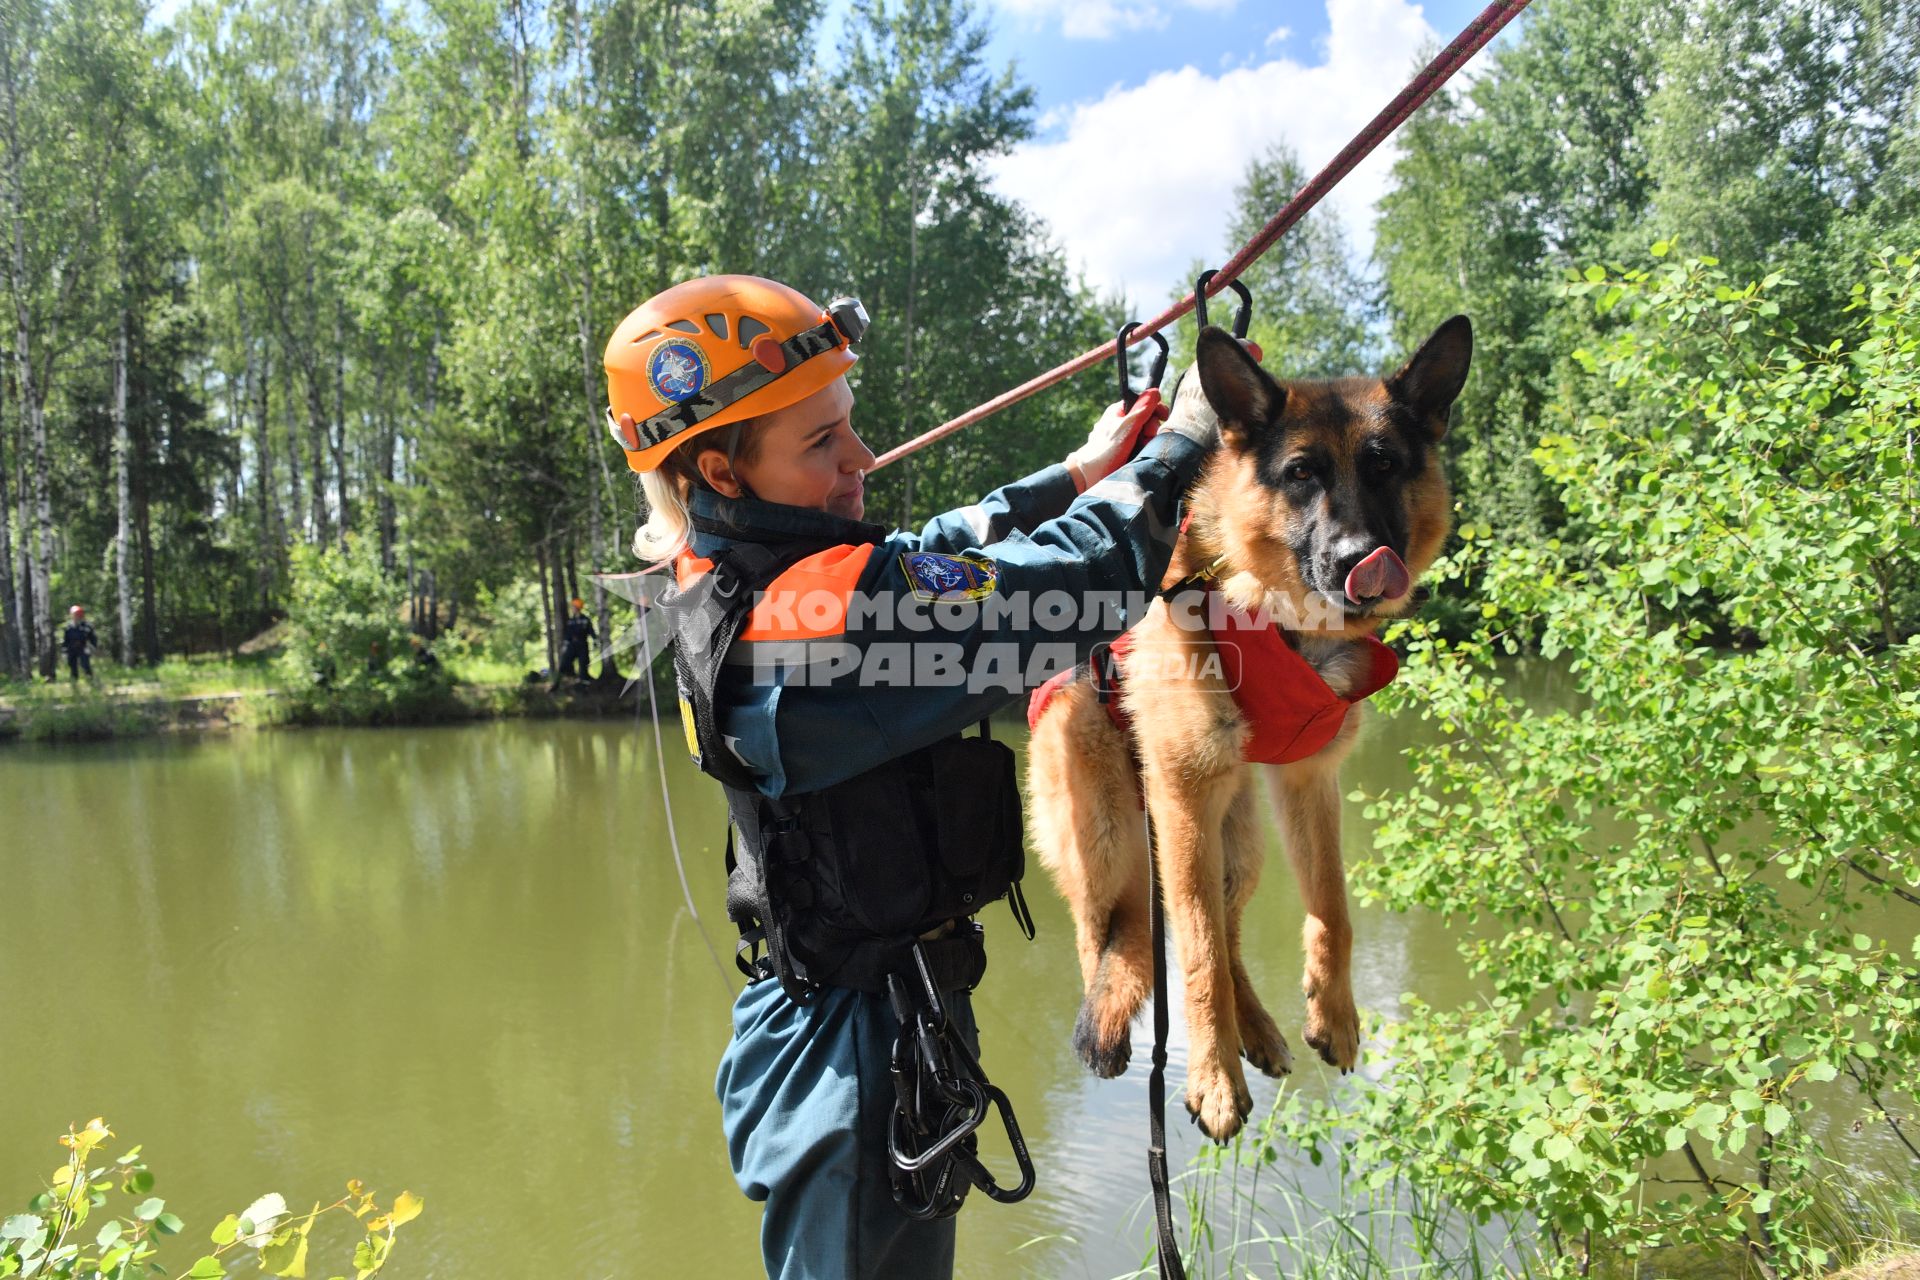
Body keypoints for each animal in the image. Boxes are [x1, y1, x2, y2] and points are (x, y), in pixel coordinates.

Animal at [1036, 318, 1466, 1143]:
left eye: (1384, 465)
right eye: (1300, 473)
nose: (1358, 560)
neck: (1276, 618)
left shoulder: (1307, 782)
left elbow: (1330, 910)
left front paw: (1335, 1015)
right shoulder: (1180, 795)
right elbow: (1196, 955)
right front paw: (1211, 1079)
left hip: (1235, 844)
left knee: (1219, 933)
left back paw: (1258, 1029)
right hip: (1109, 827)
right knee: (1111, 933)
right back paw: (1118, 1013)